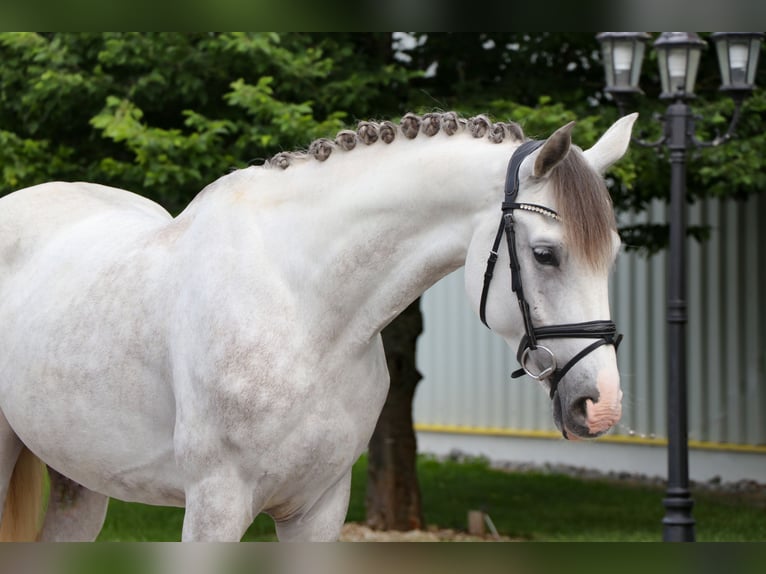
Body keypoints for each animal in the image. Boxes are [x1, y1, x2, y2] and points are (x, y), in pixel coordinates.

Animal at [0, 111, 637, 541]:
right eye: (547, 255)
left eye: (614, 254)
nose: (601, 404)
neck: (305, 312)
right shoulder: (214, 506)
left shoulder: (320, 507)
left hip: (78, 481)